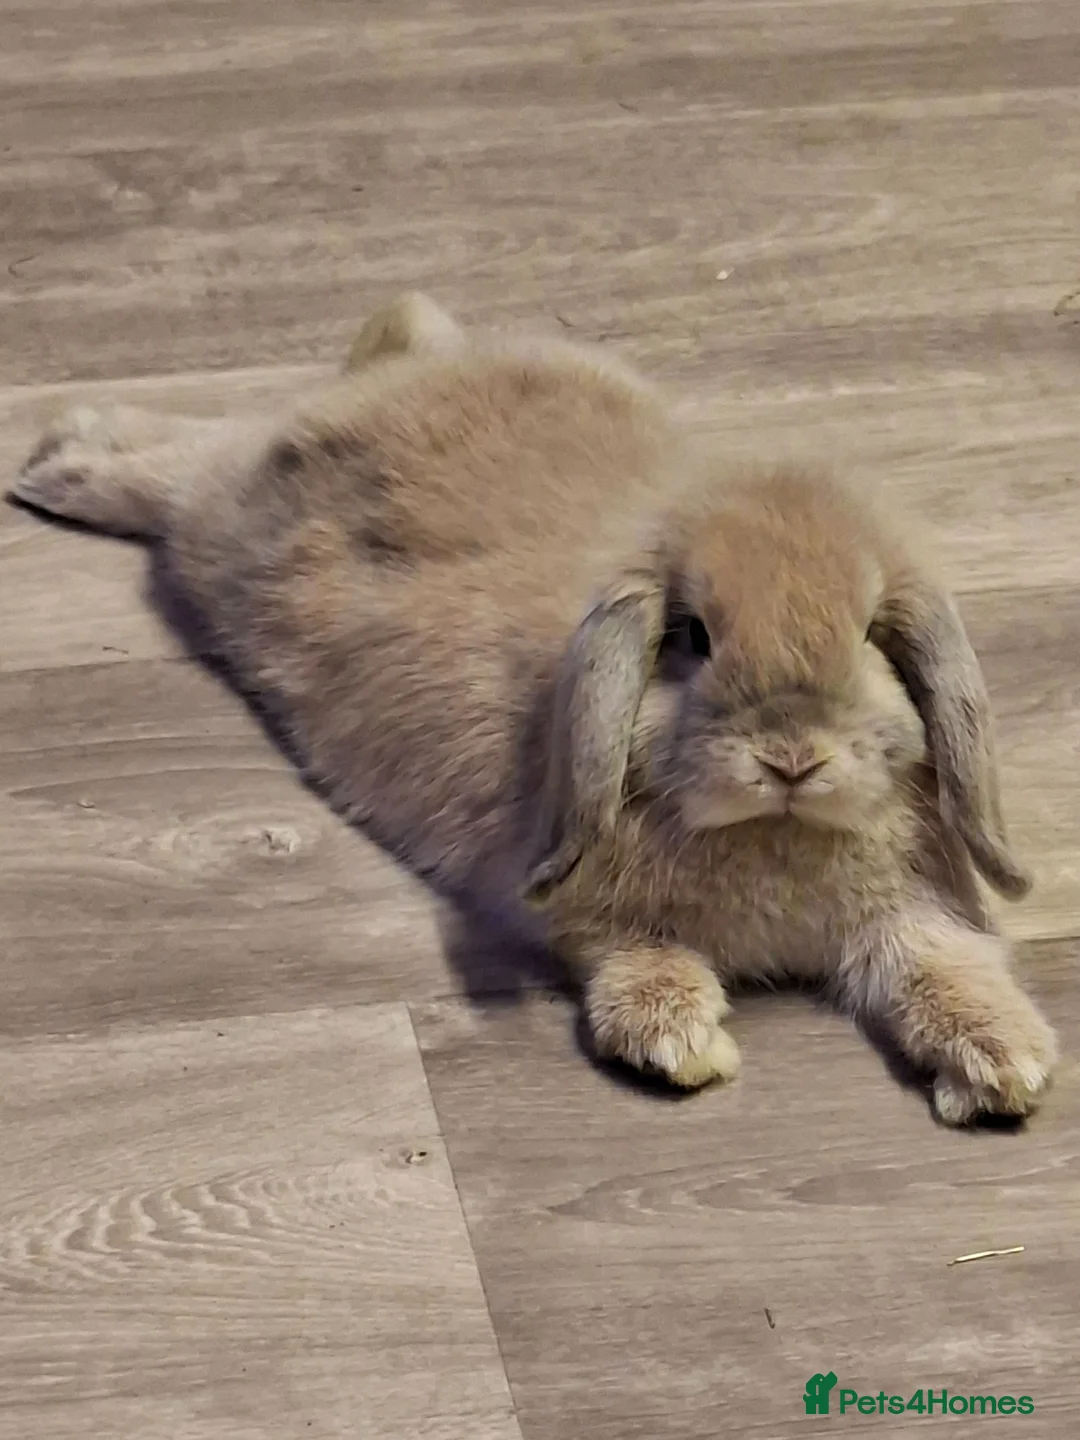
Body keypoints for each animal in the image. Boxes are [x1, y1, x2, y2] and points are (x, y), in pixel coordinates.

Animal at [10, 292, 1057, 1125]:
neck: (774, 835)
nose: (792, 756)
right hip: (224, 524)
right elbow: (638, 958)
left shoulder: (913, 915)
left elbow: (947, 966)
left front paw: (1007, 1065)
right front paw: (680, 1043)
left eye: (874, 635)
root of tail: (405, 360)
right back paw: (58, 459)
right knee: (187, 464)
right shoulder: (582, 913)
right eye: (692, 635)